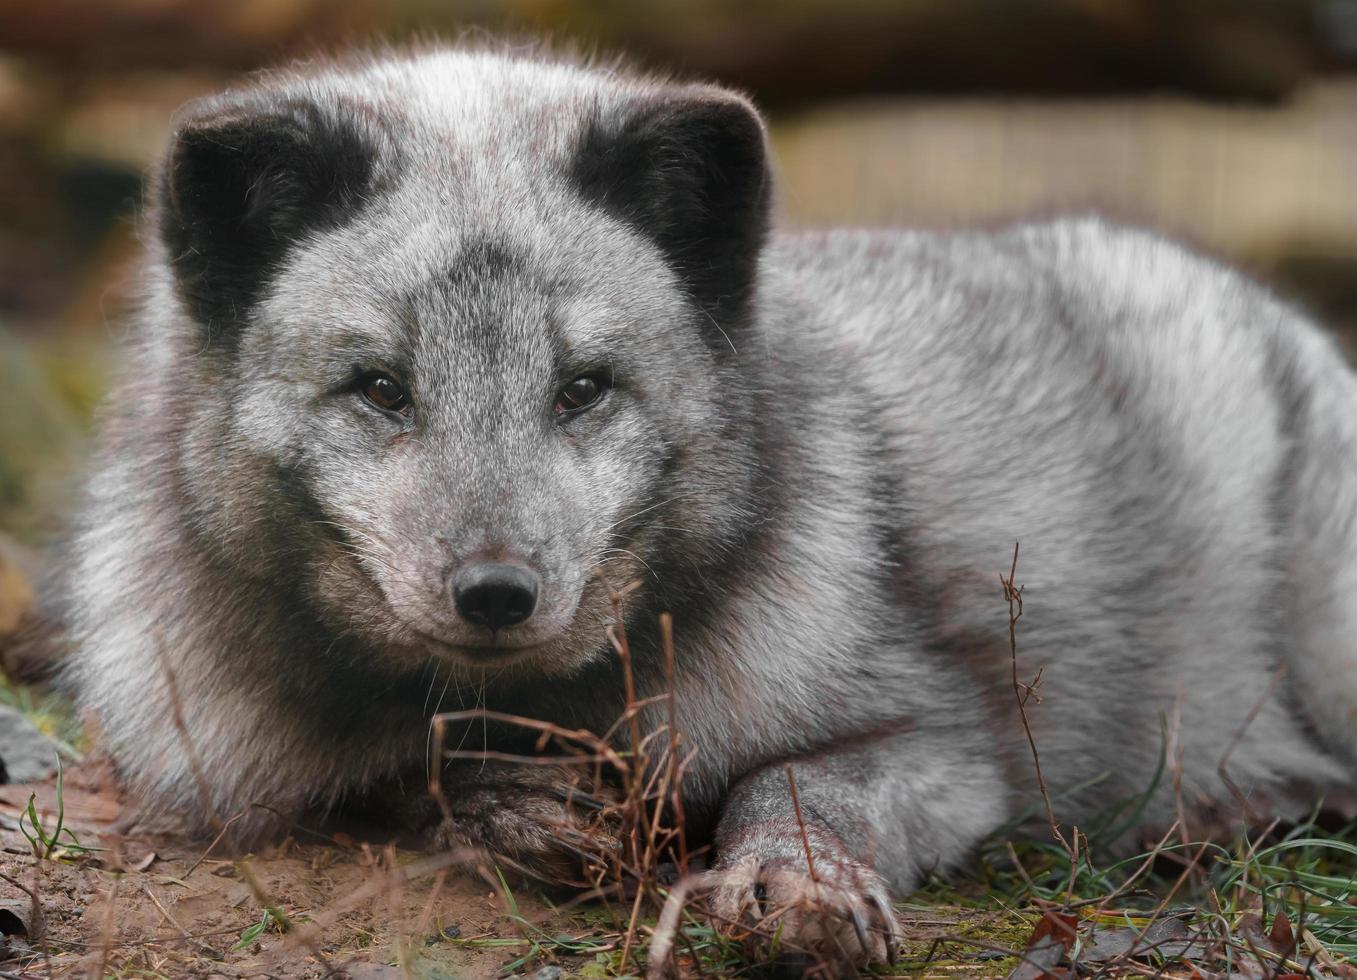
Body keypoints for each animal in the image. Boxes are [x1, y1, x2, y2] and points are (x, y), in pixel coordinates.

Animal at [71, 43, 1357, 960]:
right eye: (380, 388)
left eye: (583, 387)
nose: (496, 592)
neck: (553, 702)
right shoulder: (232, 765)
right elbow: (391, 777)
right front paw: (514, 804)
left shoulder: (947, 741)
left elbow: (795, 780)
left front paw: (796, 880)